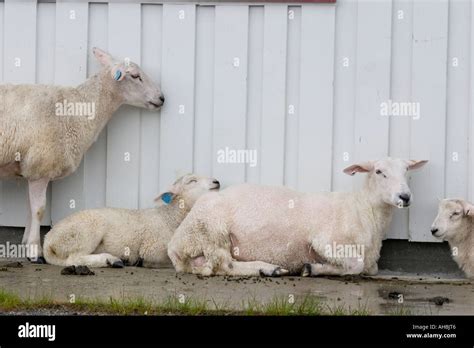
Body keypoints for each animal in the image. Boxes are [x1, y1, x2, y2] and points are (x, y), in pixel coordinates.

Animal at [0, 48, 165, 260]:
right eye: (136, 76)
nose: (162, 98)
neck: (76, 110)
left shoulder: (32, 169)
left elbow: (30, 209)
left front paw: (26, 244)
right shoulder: (41, 165)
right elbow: (39, 210)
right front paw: (35, 250)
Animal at [44, 174, 220, 270]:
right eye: (192, 181)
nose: (216, 182)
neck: (170, 218)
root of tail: (48, 239)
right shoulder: (153, 250)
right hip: (84, 232)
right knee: (74, 258)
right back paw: (110, 260)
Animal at [168, 158, 428, 278]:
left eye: (407, 170)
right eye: (379, 171)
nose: (405, 196)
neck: (362, 209)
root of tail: (175, 246)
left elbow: (368, 268)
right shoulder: (326, 241)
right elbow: (356, 265)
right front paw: (312, 268)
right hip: (212, 231)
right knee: (225, 265)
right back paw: (268, 268)